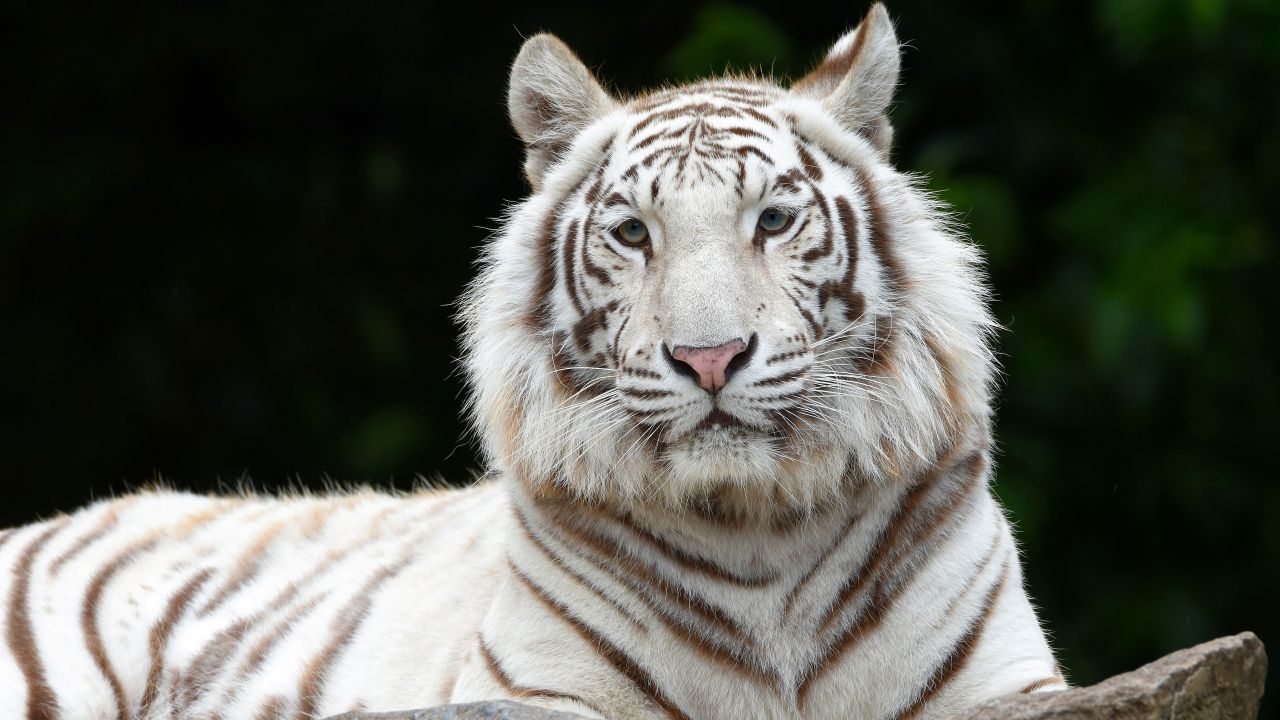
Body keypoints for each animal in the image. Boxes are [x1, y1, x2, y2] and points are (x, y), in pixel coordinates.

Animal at [0, 2, 1059, 712]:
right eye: (632, 233)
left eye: (773, 220)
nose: (711, 358)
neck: (758, 533)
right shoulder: (537, 693)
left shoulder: (1008, 684)